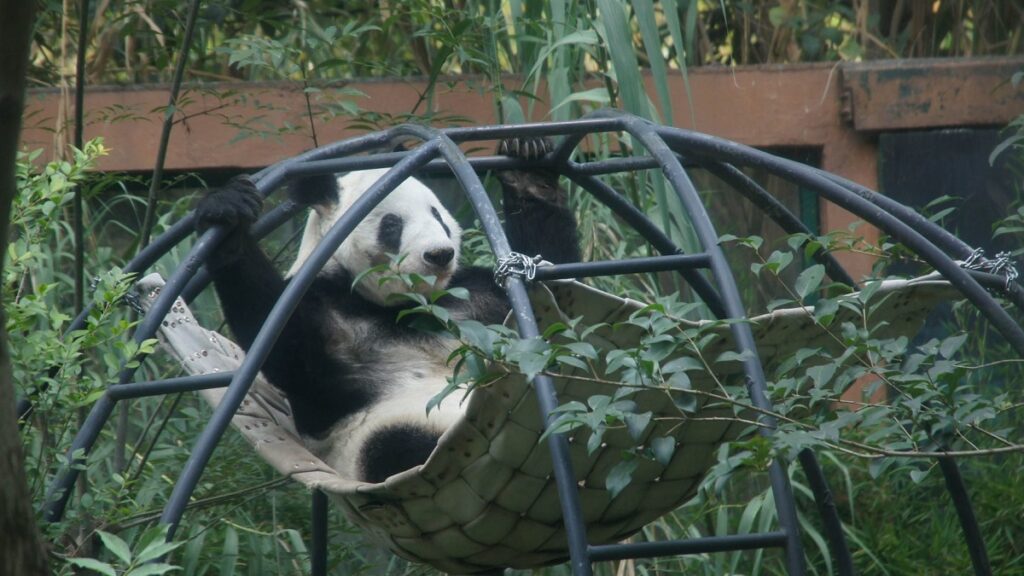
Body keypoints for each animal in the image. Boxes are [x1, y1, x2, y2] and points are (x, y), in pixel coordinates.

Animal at [194, 137, 580, 483]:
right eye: (392, 225)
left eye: (438, 216)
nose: (439, 254)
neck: (402, 307)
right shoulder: (323, 310)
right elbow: (282, 347)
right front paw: (228, 216)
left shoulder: (474, 298)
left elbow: (559, 291)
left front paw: (527, 165)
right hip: (385, 435)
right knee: (398, 448)